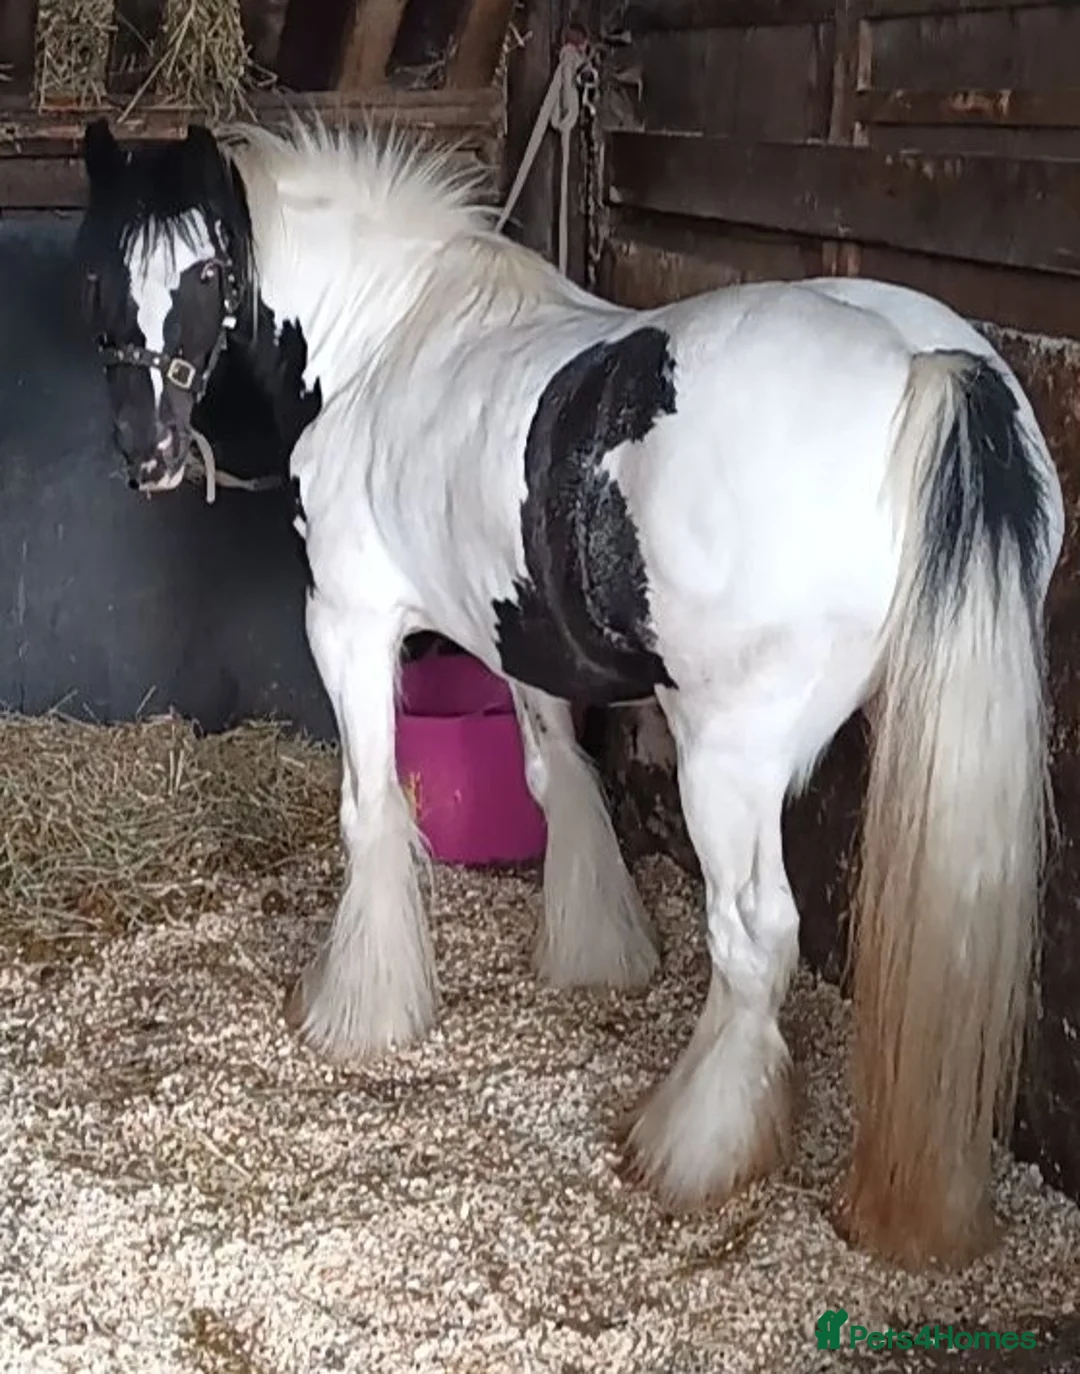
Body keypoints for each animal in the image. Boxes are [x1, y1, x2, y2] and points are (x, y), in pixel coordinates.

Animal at [75, 114, 1065, 1271]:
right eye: (96, 270)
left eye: (207, 271)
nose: (146, 451)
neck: (383, 335)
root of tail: (928, 366)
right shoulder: (518, 641)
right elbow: (560, 781)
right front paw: (596, 954)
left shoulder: (348, 622)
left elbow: (370, 810)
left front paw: (356, 1010)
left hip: (729, 760)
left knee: (757, 937)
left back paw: (692, 1147)